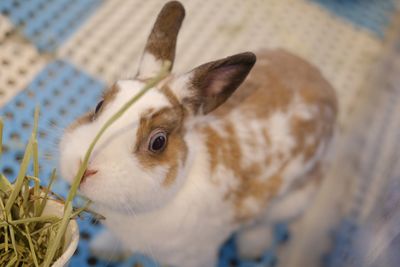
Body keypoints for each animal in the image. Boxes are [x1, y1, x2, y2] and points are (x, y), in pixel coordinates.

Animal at [59, 1, 336, 266]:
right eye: (99, 106)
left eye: (158, 142)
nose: (83, 168)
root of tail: (325, 84)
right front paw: (104, 248)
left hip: (290, 203)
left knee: (263, 223)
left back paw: (252, 248)